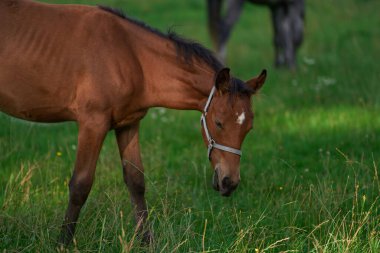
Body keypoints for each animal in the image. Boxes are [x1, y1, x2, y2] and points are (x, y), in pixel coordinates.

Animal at [0, 0, 268, 245]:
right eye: (219, 122)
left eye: (249, 128)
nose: (229, 183)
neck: (130, 57)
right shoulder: (92, 124)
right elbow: (80, 185)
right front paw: (63, 243)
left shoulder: (128, 124)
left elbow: (136, 181)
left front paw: (147, 241)